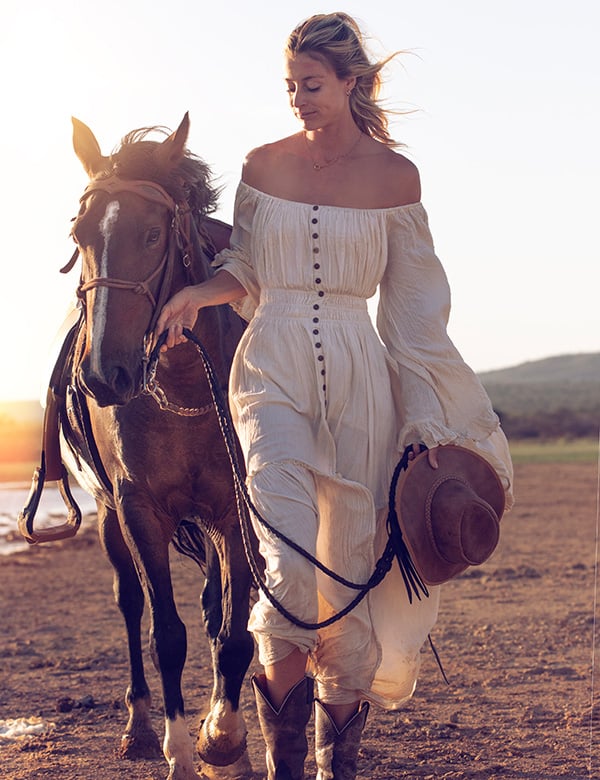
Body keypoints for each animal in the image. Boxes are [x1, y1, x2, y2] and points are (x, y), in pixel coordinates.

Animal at [50, 116, 254, 780]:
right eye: (80, 234)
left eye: (152, 233)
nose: (104, 375)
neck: (185, 382)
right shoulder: (140, 510)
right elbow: (166, 633)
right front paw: (181, 749)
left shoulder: (234, 511)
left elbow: (233, 632)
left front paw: (224, 738)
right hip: (107, 514)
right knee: (131, 603)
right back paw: (140, 725)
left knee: (216, 610)